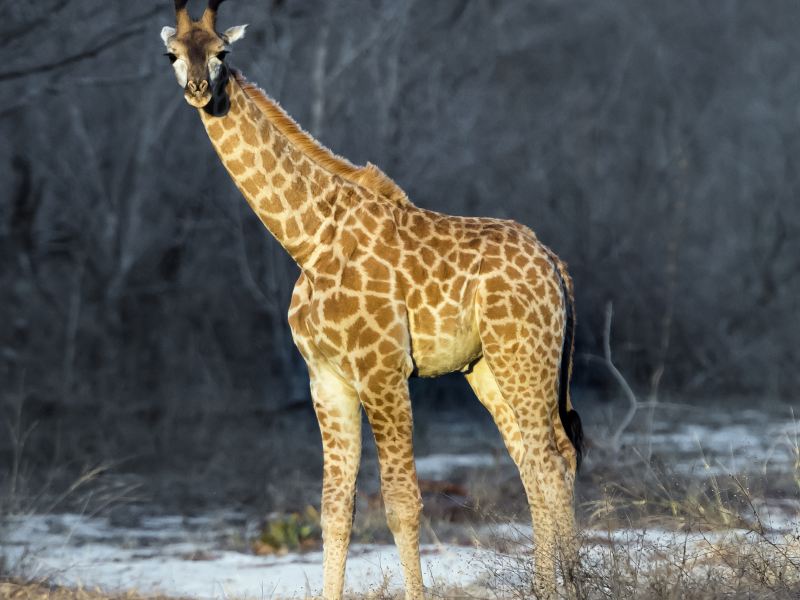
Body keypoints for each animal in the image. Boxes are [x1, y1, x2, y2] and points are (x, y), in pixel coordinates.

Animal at [162, 2, 584, 596]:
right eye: (172, 54)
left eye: (222, 52)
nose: (199, 88)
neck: (309, 240)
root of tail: (554, 264)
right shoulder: (326, 377)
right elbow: (334, 509)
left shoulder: (382, 371)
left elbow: (402, 504)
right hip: (488, 367)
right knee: (541, 459)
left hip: (524, 355)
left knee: (549, 462)